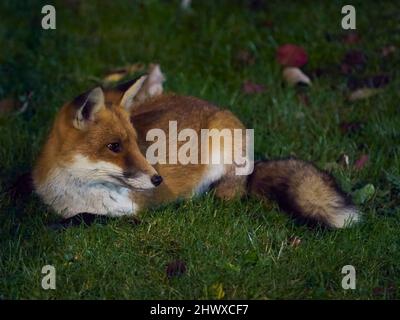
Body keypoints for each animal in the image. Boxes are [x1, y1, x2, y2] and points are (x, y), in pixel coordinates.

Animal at [32, 64, 360, 228]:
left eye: (136, 143)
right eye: (114, 146)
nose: (157, 179)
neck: (76, 193)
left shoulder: (129, 213)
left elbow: (82, 220)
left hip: (224, 149)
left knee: (230, 194)